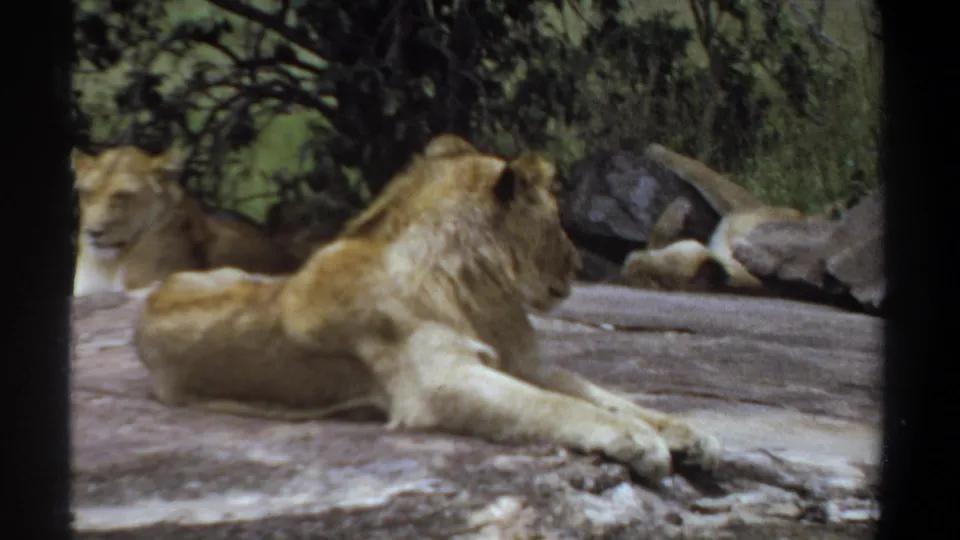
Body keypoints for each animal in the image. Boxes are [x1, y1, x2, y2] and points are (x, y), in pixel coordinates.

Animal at [133, 134, 723, 483]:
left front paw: (684, 432)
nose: (580, 265)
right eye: (559, 222)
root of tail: (155, 295)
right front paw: (638, 442)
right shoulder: (439, 381)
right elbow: (558, 407)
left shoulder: (524, 362)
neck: (479, 290)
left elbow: (605, 394)